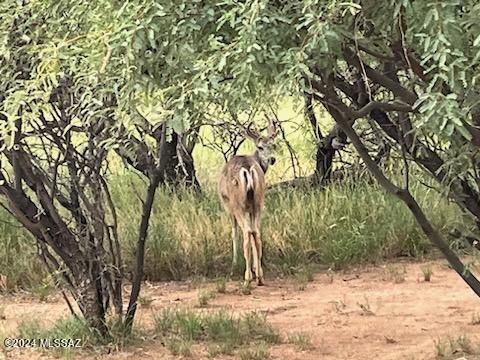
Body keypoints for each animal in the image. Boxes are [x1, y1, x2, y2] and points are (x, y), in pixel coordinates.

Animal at [218, 121, 278, 286]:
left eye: (273, 145)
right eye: (260, 147)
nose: (272, 159)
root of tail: (248, 169)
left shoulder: (228, 207)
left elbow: (234, 233)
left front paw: (234, 264)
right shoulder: (251, 208)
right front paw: (255, 268)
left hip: (238, 204)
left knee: (246, 232)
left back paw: (247, 278)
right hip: (258, 201)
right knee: (255, 232)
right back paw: (260, 277)